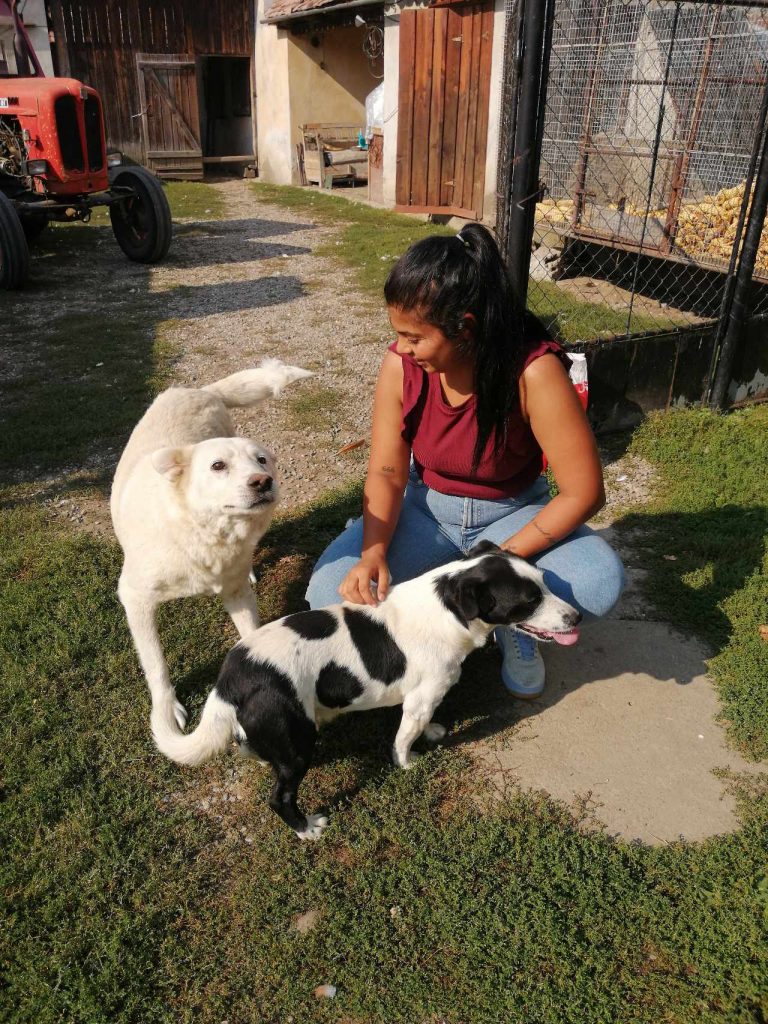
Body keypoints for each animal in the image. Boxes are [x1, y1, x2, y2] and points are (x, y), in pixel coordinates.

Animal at [109, 358, 313, 737]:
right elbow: (155, 664)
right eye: (218, 466)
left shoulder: (235, 595)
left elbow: (251, 634)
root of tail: (200, 391)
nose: (263, 482)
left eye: (261, 460)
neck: (201, 533)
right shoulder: (135, 599)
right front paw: (167, 709)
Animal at [151, 544, 581, 839]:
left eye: (544, 581)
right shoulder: (422, 697)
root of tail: (233, 676)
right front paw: (407, 764)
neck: (446, 607)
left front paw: (433, 732)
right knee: (280, 797)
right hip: (298, 743)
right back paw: (306, 829)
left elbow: (421, 724)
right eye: (528, 601)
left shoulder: (421, 698)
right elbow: (403, 739)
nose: (576, 617)